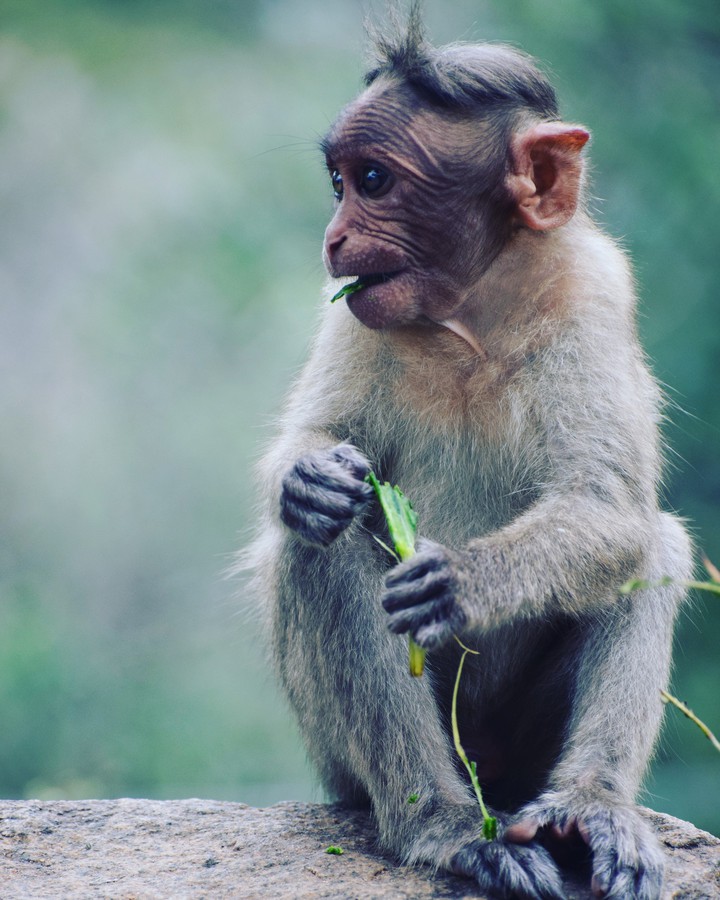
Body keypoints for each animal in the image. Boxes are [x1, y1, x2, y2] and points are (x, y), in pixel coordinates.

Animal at [245, 10, 692, 900]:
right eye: (340, 182)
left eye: (374, 180)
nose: (334, 239)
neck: (471, 313)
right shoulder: (352, 310)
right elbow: (320, 448)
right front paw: (308, 480)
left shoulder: (594, 291)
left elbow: (607, 507)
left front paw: (460, 583)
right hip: (338, 757)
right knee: (326, 546)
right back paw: (446, 827)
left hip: (520, 751)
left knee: (649, 543)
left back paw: (587, 808)